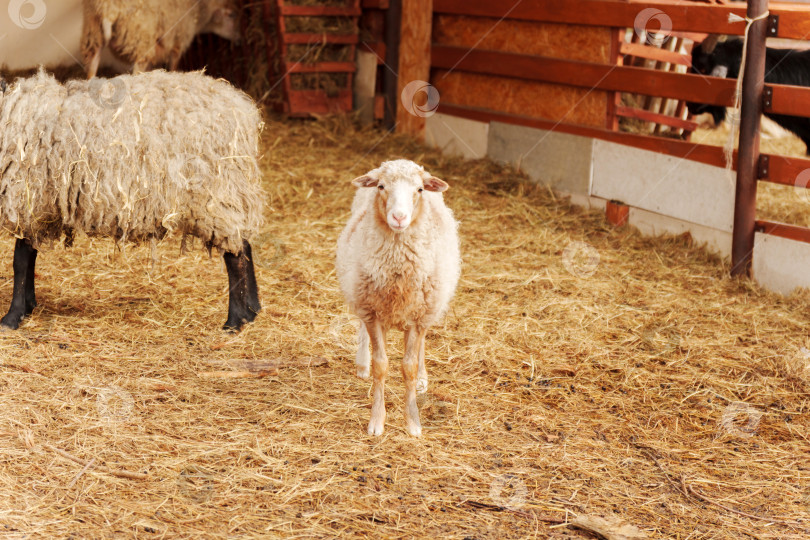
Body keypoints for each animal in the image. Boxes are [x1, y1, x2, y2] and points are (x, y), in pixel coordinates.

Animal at [0, 69, 264, 331]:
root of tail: (242, 109)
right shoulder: (35, 206)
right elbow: (28, 257)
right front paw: (28, 306)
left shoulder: (26, 198)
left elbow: (20, 260)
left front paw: (12, 317)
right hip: (232, 193)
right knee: (244, 244)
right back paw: (253, 309)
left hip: (216, 197)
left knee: (235, 254)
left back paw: (235, 320)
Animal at [80, 0, 241, 79]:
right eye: (232, 15)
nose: (239, 39)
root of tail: (109, 9)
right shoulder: (179, 41)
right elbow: (173, 65)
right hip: (140, 36)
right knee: (137, 70)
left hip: (93, 33)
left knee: (91, 70)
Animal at [336, 159, 461, 437]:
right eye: (381, 187)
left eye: (420, 189)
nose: (399, 217)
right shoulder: (372, 312)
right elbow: (381, 365)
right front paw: (377, 420)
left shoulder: (418, 317)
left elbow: (409, 367)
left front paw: (413, 422)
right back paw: (362, 364)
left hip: (427, 308)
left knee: (421, 345)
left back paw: (423, 377)